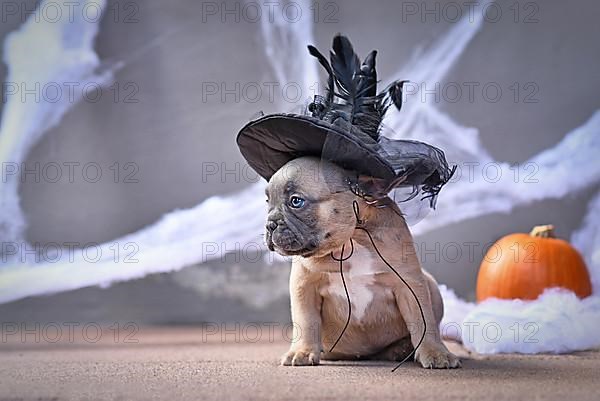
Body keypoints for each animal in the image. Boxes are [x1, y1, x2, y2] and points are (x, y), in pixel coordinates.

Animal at [266, 155, 460, 368]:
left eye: (296, 201)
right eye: (267, 201)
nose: (270, 225)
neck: (351, 240)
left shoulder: (410, 285)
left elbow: (423, 320)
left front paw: (435, 352)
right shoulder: (304, 286)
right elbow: (306, 321)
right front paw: (302, 351)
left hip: (431, 285)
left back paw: (401, 349)